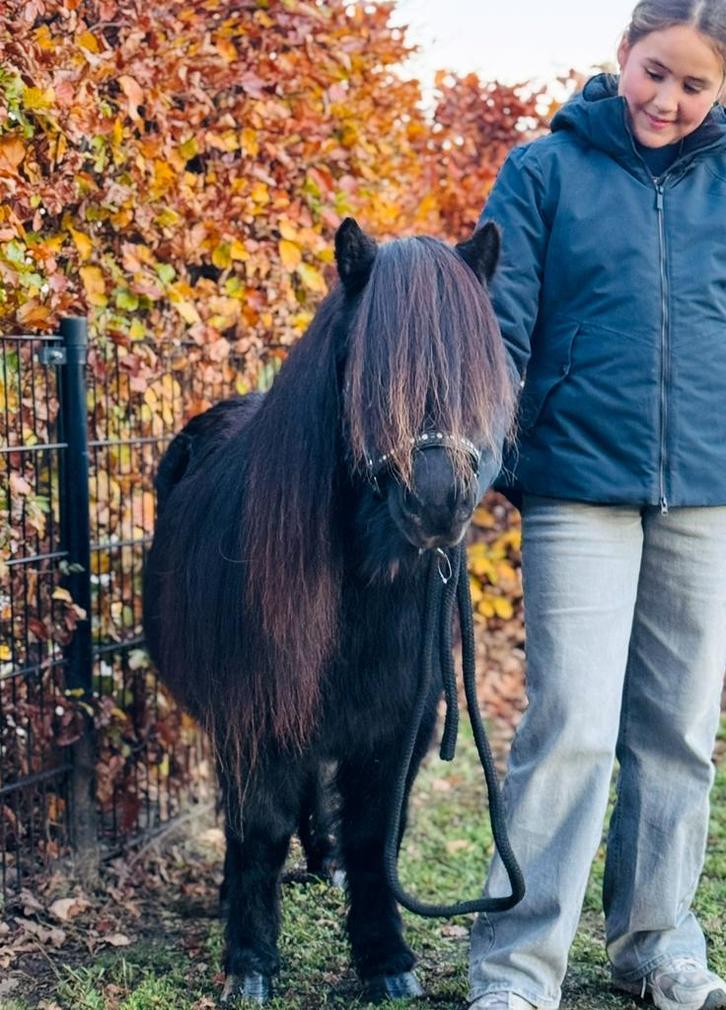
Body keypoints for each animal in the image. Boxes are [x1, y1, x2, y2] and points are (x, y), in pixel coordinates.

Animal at [143, 217, 516, 1004]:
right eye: (365, 368)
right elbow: (258, 828)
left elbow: (377, 836)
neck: (366, 593)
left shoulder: (399, 725)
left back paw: (324, 865)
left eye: (478, 365)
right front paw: (250, 963)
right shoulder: (253, 715)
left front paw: (386, 960)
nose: (437, 503)